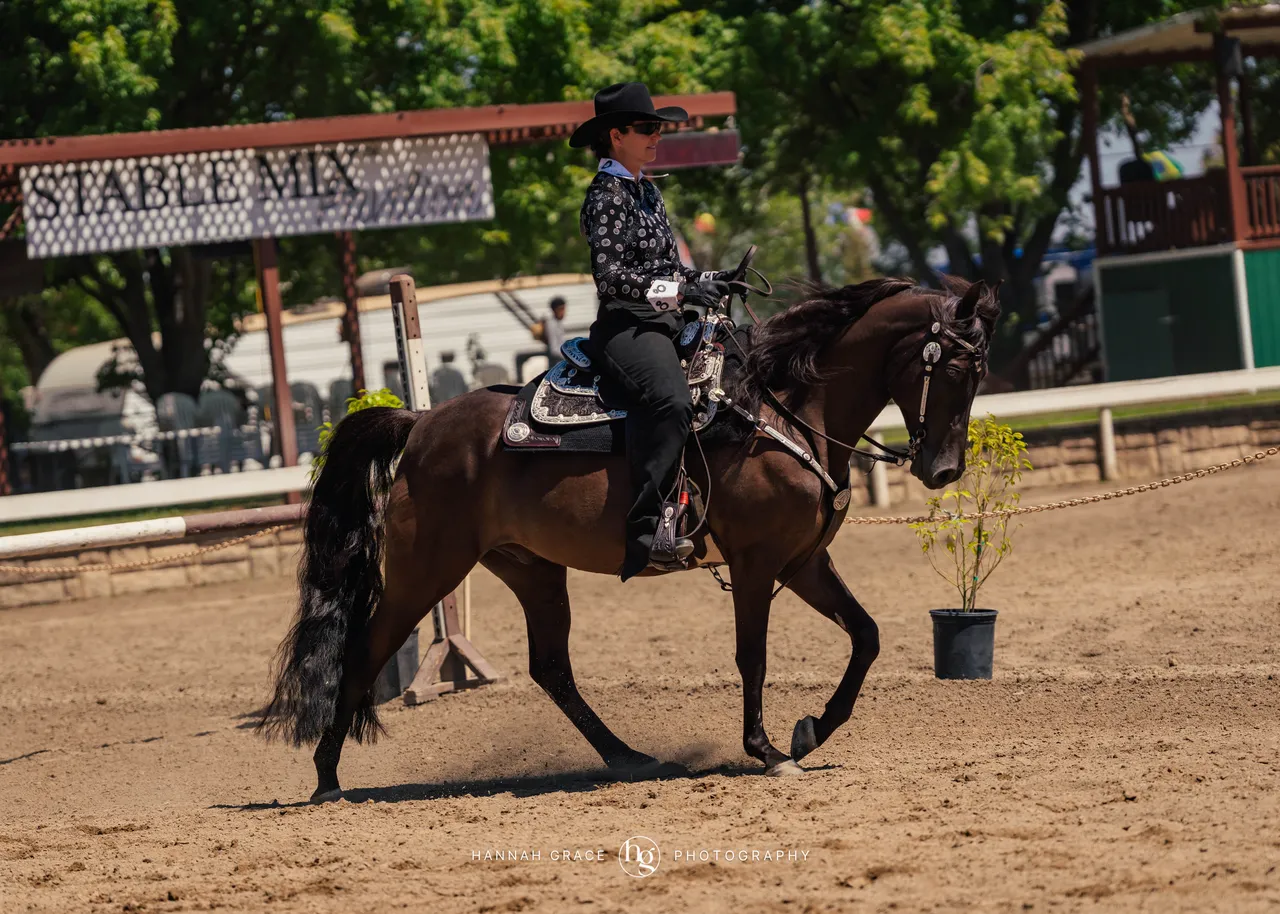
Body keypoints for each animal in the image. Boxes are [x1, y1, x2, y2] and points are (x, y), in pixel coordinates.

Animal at [257, 275, 1000, 801]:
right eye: (950, 370)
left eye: (979, 374)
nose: (942, 470)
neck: (783, 412)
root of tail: (421, 422)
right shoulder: (757, 563)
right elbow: (752, 656)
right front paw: (766, 750)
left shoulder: (806, 560)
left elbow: (866, 635)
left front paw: (810, 731)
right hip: (426, 570)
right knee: (366, 649)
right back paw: (326, 777)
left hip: (530, 568)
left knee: (552, 669)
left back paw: (628, 756)